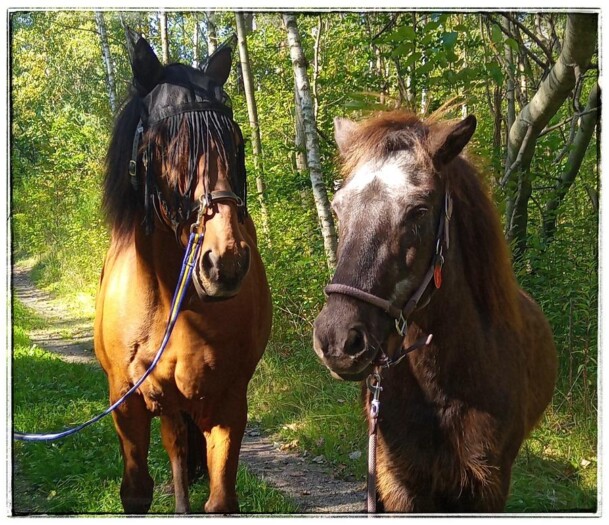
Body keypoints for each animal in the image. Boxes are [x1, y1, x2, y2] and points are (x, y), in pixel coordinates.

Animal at [94, 31, 270, 512]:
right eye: (159, 146)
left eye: (236, 141)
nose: (224, 261)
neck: (168, 296)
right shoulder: (126, 404)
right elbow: (137, 490)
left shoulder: (227, 403)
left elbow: (220, 499)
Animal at [314, 111, 556, 512]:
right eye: (337, 207)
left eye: (418, 211)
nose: (337, 339)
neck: (445, 386)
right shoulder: (400, 485)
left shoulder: (488, 489)